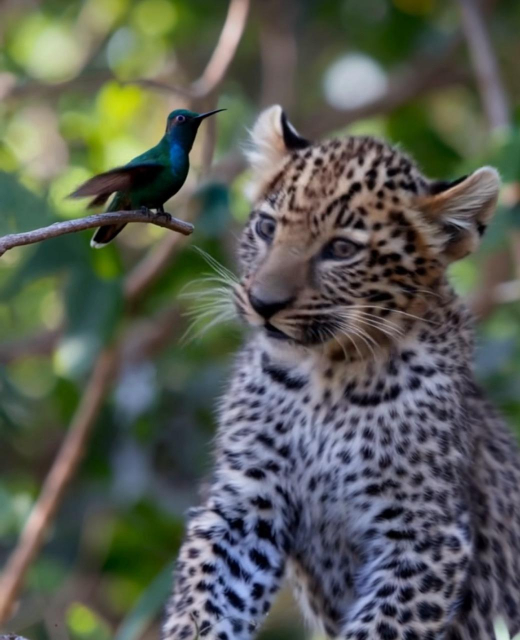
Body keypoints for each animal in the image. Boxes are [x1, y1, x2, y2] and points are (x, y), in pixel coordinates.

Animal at [162, 105, 520, 640]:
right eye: (267, 228)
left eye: (342, 250)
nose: (263, 303)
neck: (325, 379)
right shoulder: (247, 499)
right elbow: (207, 590)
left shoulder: (426, 533)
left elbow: (383, 625)